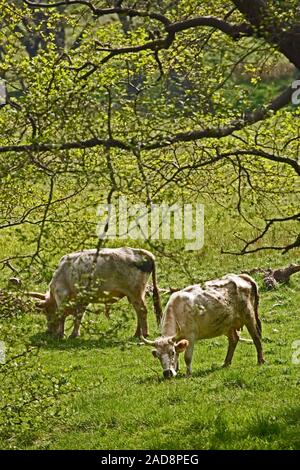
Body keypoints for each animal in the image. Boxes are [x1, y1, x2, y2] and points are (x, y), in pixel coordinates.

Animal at [28, 246, 162, 338]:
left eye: (47, 312)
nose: (49, 331)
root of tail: (145, 253)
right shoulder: (82, 300)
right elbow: (78, 316)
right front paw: (74, 334)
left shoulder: (61, 295)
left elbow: (62, 316)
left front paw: (61, 334)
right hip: (135, 294)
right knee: (138, 311)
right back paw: (137, 334)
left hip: (135, 293)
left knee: (142, 310)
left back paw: (144, 334)